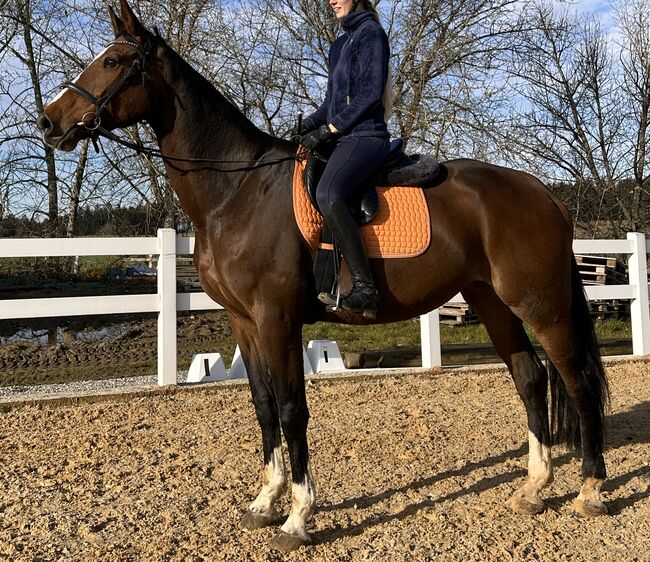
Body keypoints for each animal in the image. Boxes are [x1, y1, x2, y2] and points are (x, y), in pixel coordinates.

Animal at [38, 1, 608, 552]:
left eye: (114, 61)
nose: (48, 121)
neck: (235, 191)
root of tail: (544, 193)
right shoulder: (244, 321)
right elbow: (263, 405)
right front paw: (265, 502)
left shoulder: (277, 318)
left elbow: (292, 409)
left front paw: (298, 516)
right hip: (492, 301)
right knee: (530, 377)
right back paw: (534, 489)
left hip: (542, 306)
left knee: (577, 381)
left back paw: (591, 490)